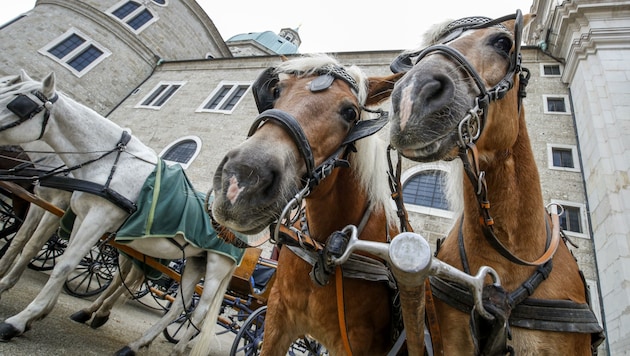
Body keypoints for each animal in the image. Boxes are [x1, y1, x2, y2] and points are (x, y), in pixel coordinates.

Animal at [0, 70, 242, 356]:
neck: (112, 162)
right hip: (195, 261)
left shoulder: (90, 217)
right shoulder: (80, 216)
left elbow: (61, 263)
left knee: (199, 311)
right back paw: (135, 343)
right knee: (176, 307)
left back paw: (175, 347)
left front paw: (20, 320)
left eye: (17, 103)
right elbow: (33, 246)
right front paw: (33, 307)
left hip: (216, 267)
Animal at [215, 54, 408, 354]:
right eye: (277, 90)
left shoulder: (360, 344)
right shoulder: (276, 316)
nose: (242, 179)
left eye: (350, 113)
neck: (325, 250)